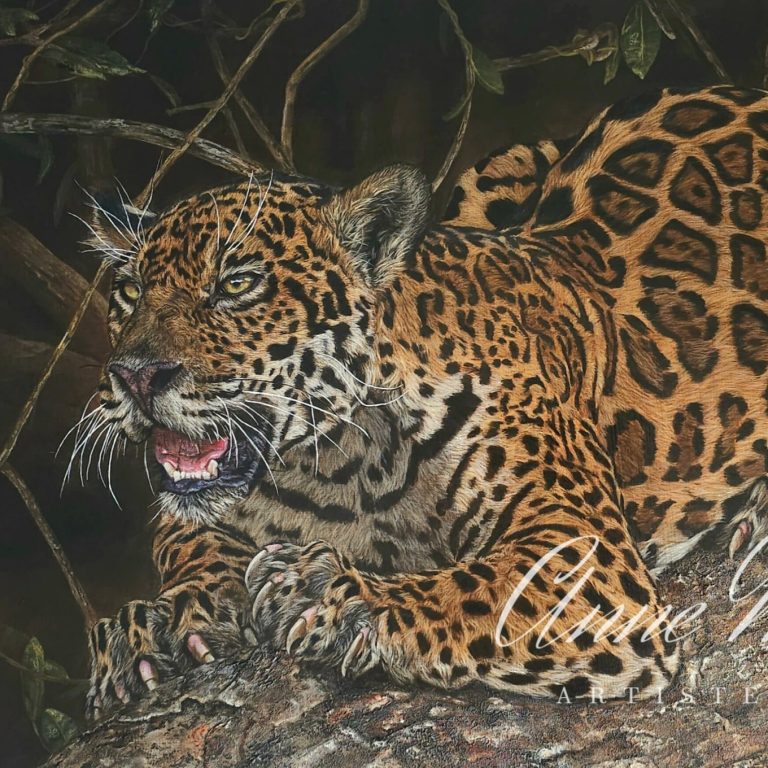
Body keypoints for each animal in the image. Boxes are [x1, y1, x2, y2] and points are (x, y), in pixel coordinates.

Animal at [81, 84, 768, 718]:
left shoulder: (583, 555)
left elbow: (475, 590)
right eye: (129, 291)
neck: (337, 470)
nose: (136, 376)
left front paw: (332, 595)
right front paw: (161, 620)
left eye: (237, 284)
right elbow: (185, 534)